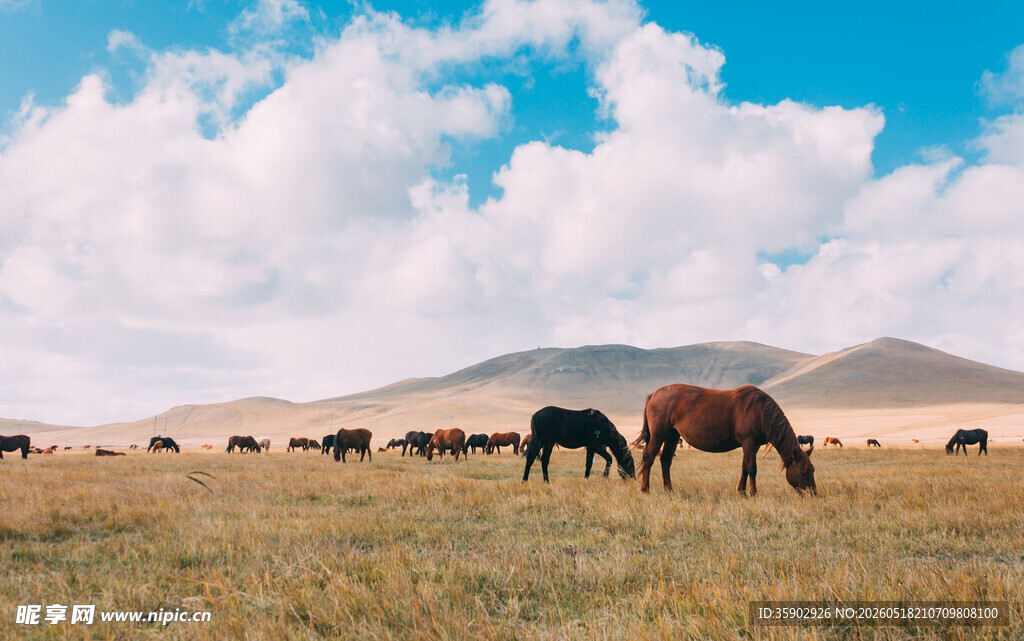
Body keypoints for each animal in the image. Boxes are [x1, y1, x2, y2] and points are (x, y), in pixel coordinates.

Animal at [637, 384, 815, 496]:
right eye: (803, 471)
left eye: (813, 470)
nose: (814, 493)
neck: (760, 412)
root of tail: (654, 394)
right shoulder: (749, 443)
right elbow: (752, 468)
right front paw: (753, 493)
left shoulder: (751, 446)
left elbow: (744, 467)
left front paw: (742, 491)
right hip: (659, 434)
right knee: (649, 457)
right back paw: (645, 489)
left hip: (673, 435)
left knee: (666, 460)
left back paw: (669, 490)